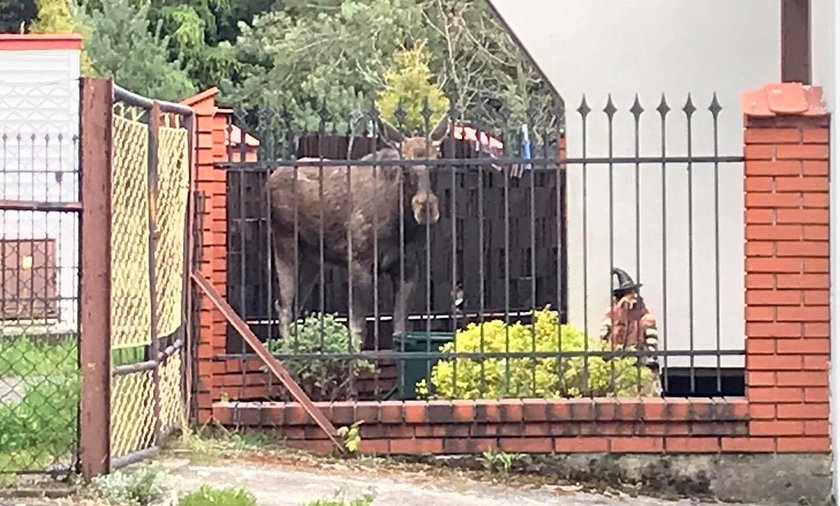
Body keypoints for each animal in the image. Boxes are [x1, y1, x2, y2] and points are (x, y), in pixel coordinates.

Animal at [270, 116, 452, 350]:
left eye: (437, 163)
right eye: (404, 167)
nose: (426, 208)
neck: (400, 224)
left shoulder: (408, 267)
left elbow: (400, 329)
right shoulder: (359, 263)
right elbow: (357, 329)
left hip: (312, 258)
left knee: (294, 305)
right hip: (285, 243)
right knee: (283, 305)